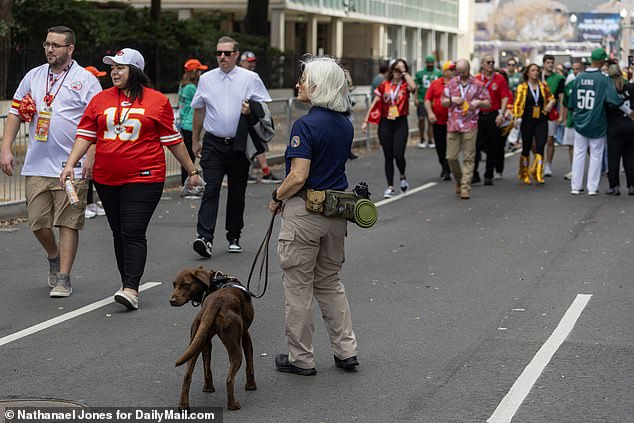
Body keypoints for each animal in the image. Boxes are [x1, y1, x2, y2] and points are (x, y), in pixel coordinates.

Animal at [170, 268, 256, 410]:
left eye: (185, 285)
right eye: (174, 285)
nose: (171, 301)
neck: (215, 281)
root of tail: (215, 302)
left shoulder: (206, 342)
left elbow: (207, 369)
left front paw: (208, 388)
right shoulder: (246, 336)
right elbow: (250, 365)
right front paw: (251, 386)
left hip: (194, 345)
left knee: (187, 375)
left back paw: (183, 405)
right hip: (235, 349)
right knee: (229, 379)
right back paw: (233, 405)